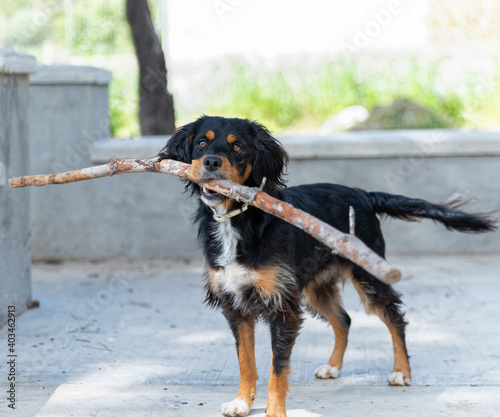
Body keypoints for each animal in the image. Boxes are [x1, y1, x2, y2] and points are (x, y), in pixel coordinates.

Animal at [158, 114, 494, 416]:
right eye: (202, 143)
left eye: (237, 147)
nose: (211, 163)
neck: (238, 220)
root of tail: (364, 194)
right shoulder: (235, 303)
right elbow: (245, 360)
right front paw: (242, 402)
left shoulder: (283, 305)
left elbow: (277, 368)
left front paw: (274, 411)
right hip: (314, 286)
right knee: (344, 319)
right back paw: (333, 367)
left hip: (367, 275)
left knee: (394, 317)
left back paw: (402, 371)